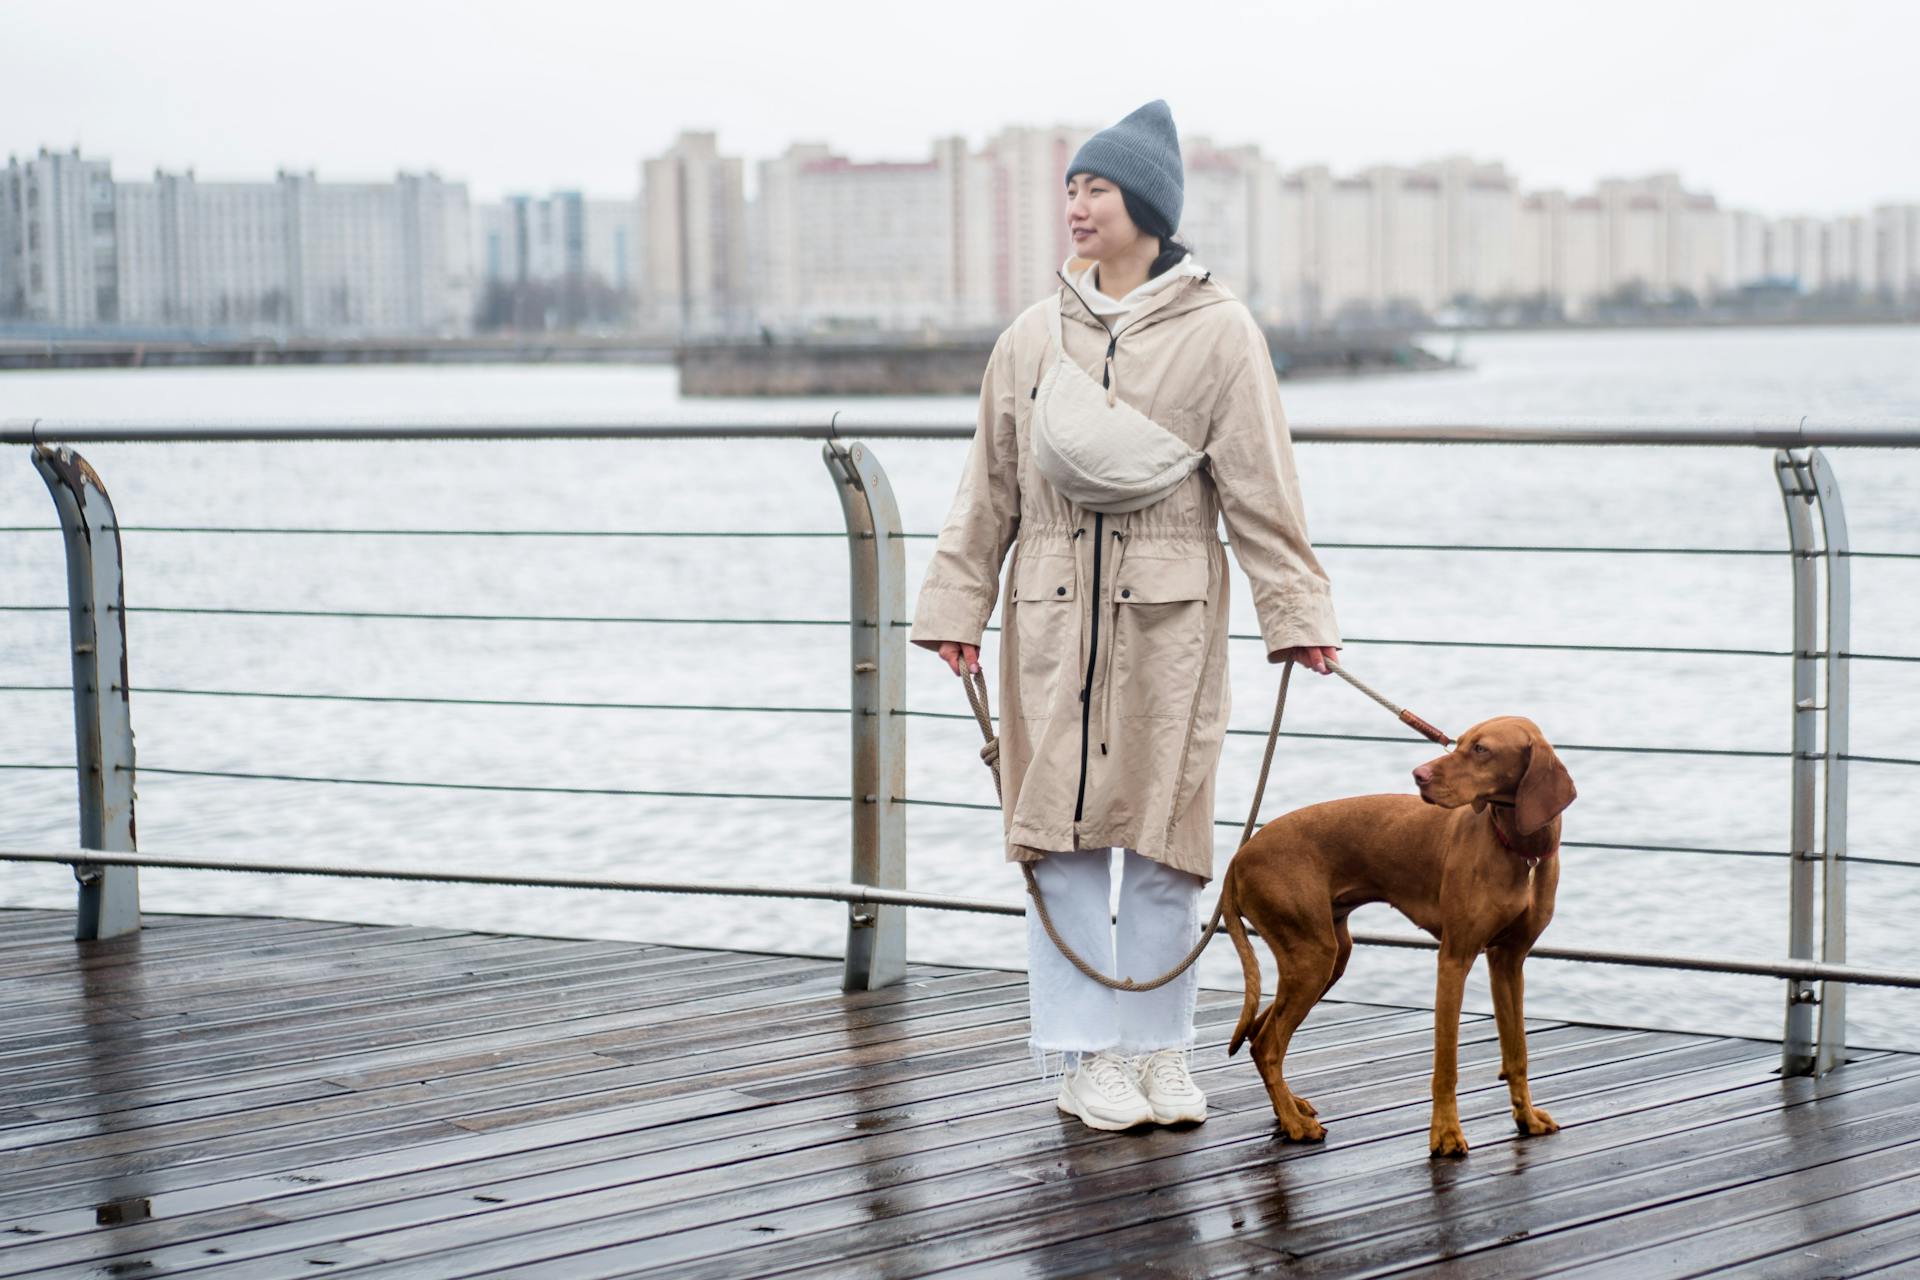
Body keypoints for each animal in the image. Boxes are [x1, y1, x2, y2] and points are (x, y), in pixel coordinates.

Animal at [1228, 717, 1574, 1159]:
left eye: (1481, 749)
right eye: (1460, 743)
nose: (1418, 775)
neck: (1519, 849)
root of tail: (1239, 857)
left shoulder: (1508, 962)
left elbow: (1518, 1052)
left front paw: (1526, 1118)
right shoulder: (1454, 958)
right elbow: (1446, 1064)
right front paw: (1446, 1134)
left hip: (1327, 956)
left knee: (1259, 1033)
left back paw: (1291, 1108)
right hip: (1312, 958)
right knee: (1267, 1044)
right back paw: (1295, 1124)